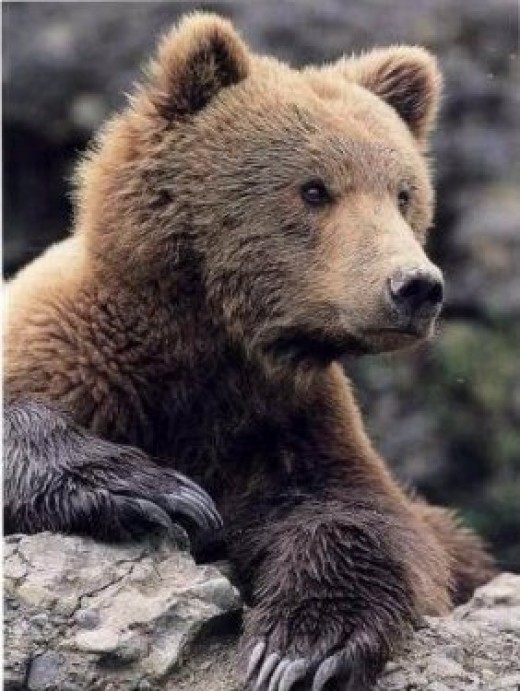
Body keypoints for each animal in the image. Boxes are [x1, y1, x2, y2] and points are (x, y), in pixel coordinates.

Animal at [4, 13, 495, 691]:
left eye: (402, 193)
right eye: (313, 189)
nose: (416, 286)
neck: (206, 339)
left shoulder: (281, 425)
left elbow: (365, 518)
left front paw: (301, 647)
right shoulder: (72, 357)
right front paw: (154, 491)